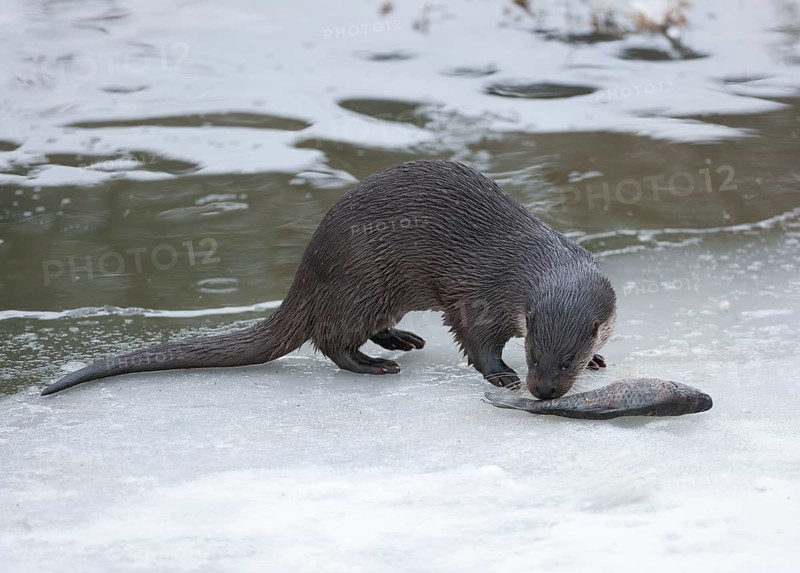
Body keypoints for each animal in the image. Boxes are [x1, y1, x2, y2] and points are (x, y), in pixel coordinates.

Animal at [41, 160, 616, 398]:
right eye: (534, 353)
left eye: (567, 358)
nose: (543, 391)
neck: (530, 262)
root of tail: (308, 268)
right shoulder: (483, 296)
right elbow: (475, 340)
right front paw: (499, 375)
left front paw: (600, 358)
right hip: (362, 280)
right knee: (331, 340)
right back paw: (376, 364)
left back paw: (400, 339)